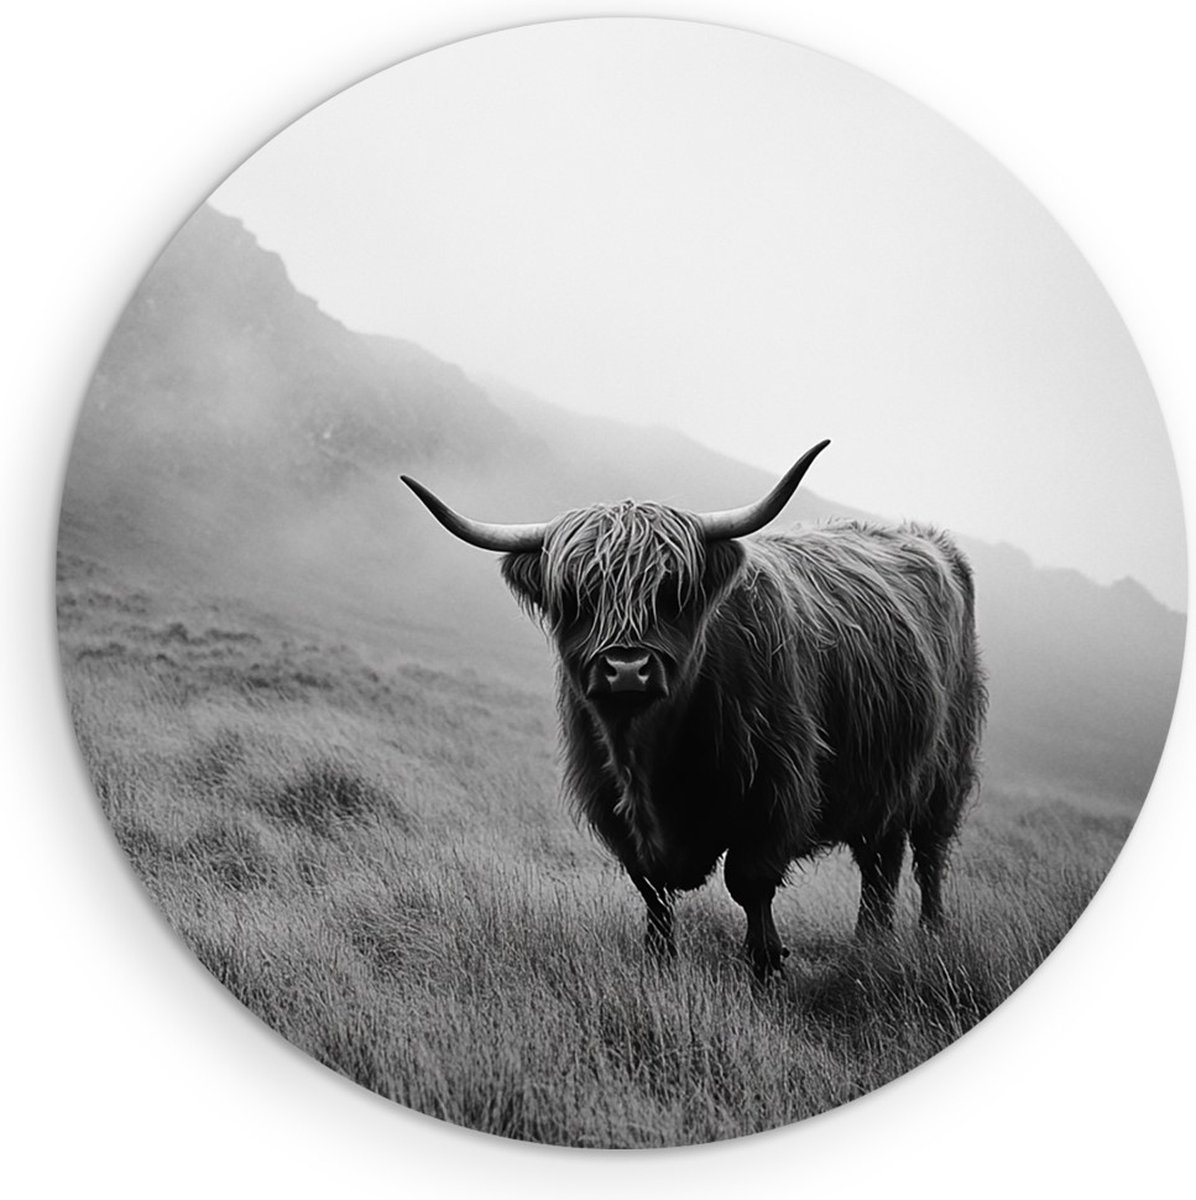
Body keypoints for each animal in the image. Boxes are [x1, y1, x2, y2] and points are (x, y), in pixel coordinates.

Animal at [402, 440, 986, 976]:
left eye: (671, 592)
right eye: (576, 597)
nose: (627, 669)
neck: (649, 759)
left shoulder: (775, 793)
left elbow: (749, 884)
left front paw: (767, 965)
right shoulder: (616, 809)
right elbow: (652, 890)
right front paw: (660, 962)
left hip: (943, 774)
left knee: (926, 856)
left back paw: (929, 936)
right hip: (887, 779)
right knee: (880, 860)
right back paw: (871, 942)